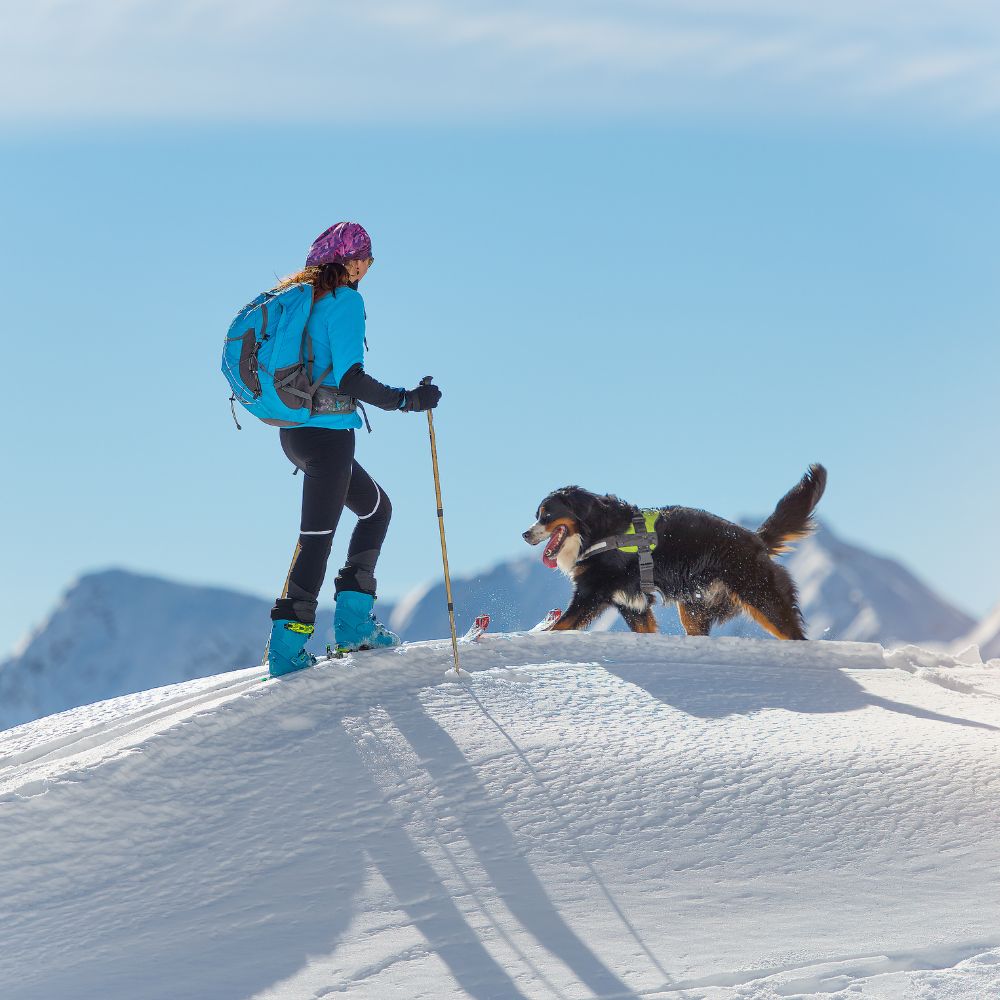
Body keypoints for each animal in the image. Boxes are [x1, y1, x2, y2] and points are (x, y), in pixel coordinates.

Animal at [524, 462, 828, 636]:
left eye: (546, 515)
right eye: (537, 515)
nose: (525, 534)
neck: (596, 532)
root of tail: (756, 539)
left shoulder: (590, 592)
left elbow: (559, 626)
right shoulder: (632, 604)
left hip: (761, 597)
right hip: (693, 609)